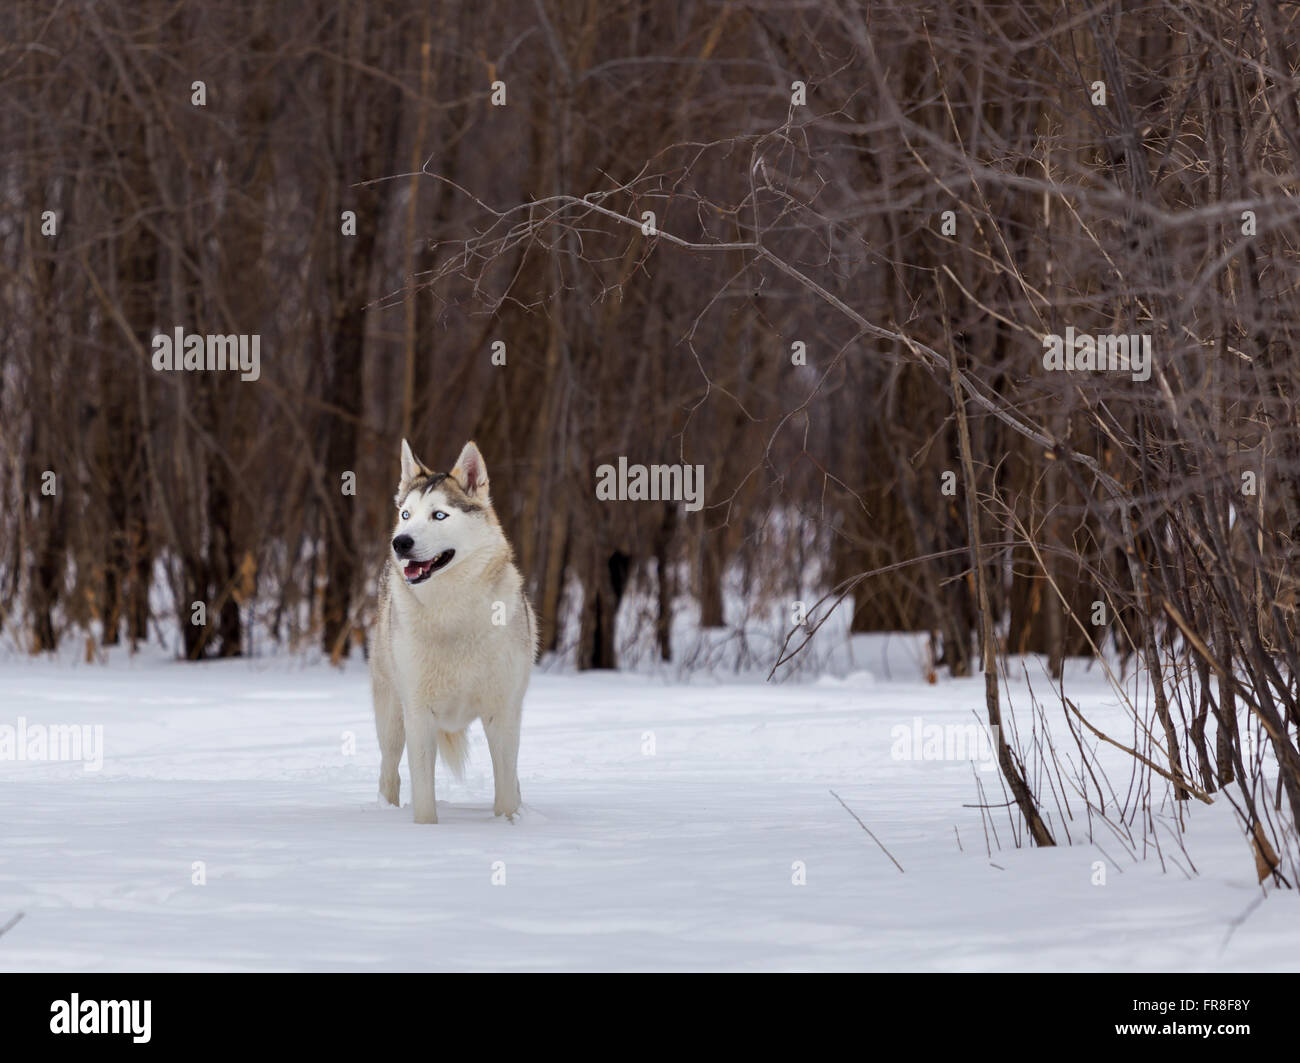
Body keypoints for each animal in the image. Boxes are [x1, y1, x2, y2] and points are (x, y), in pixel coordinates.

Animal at [369, 436, 535, 821]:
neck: (451, 612)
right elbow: (423, 793)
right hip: (392, 716)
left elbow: (506, 787)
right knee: (389, 773)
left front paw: (510, 823)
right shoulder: (418, 714)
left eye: (439, 515)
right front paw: (427, 829)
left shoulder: (503, 712)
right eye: (406, 514)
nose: (401, 542)